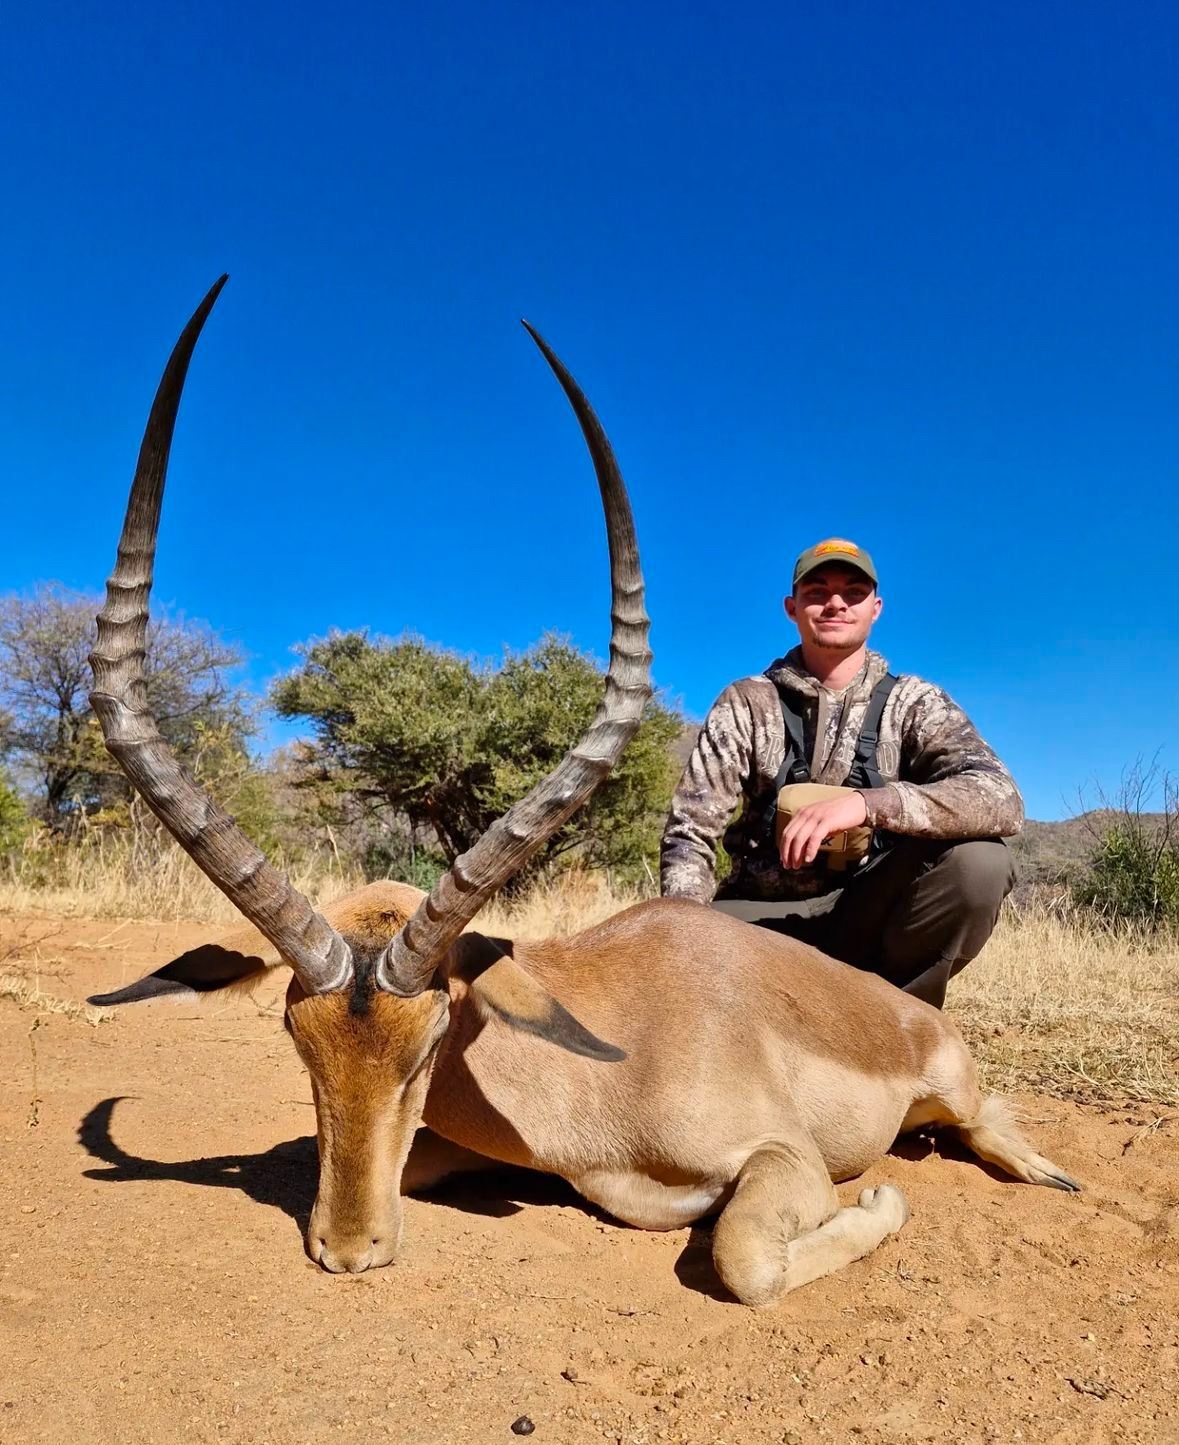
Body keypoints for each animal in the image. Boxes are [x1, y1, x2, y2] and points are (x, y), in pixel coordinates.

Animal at [88, 280, 1078, 1306]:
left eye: (431, 1038)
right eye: (296, 1034)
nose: (350, 1247)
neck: (613, 1059)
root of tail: (905, 1014)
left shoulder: (785, 1159)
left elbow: (744, 1258)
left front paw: (880, 1198)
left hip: (952, 1085)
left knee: (984, 1122)